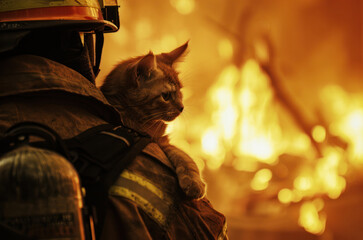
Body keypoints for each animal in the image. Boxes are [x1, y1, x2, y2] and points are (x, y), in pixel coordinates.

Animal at [99, 42, 208, 200]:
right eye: (166, 96)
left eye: (180, 91)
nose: (181, 107)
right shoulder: (159, 143)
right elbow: (185, 155)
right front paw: (195, 184)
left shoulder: (162, 142)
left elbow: (185, 156)